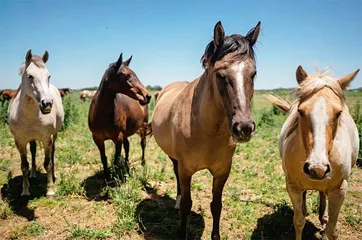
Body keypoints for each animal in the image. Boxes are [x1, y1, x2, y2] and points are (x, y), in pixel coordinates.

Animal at [8, 50, 64, 197]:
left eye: (49, 76)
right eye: (30, 76)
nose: (47, 104)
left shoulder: (46, 139)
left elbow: (47, 164)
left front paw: (50, 191)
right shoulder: (20, 141)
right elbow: (24, 165)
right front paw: (25, 191)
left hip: (54, 136)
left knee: (52, 153)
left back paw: (53, 175)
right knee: (33, 151)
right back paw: (33, 174)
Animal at [151, 21, 262, 239]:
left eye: (253, 73)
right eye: (220, 74)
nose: (244, 128)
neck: (207, 131)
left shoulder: (222, 172)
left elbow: (216, 206)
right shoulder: (186, 170)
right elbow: (187, 205)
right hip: (174, 158)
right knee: (176, 176)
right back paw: (176, 201)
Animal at [264, 66, 360, 240]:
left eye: (339, 113)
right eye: (300, 111)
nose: (317, 168)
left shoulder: (340, 190)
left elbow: (332, 230)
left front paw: (325, 222)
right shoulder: (293, 186)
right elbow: (298, 221)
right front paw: (303, 213)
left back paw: (322, 217)